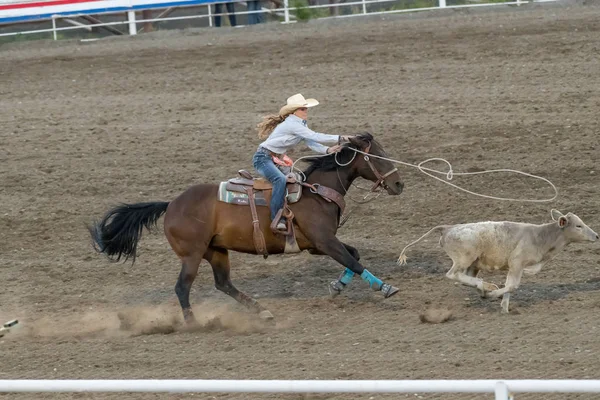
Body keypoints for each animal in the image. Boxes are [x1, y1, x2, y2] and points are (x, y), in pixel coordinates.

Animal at [88, 133, 404, 324]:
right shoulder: (324, 241)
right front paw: (386, 287)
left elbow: (354, 255)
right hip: (192, 254)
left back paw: (262, 312)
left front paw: (338, 286)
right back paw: (192, 323)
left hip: (216, 251)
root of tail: (171, 204)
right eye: (378, 156)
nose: (399, 184)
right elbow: (354, 259)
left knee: (223, 284)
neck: (316, 192)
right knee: (182, 286)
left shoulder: (317, 245)